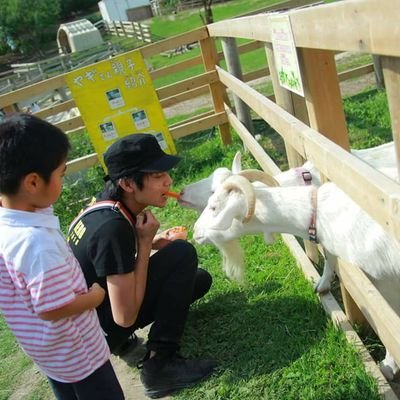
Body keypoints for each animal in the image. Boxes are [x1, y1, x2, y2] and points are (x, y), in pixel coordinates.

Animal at [193, 176, 400, 382]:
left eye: (214, 207)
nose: (195, 232)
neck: (320, 214)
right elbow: (329, 257)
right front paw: (322, 285)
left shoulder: (385, 282)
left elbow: (388, 327)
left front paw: (388, 365)